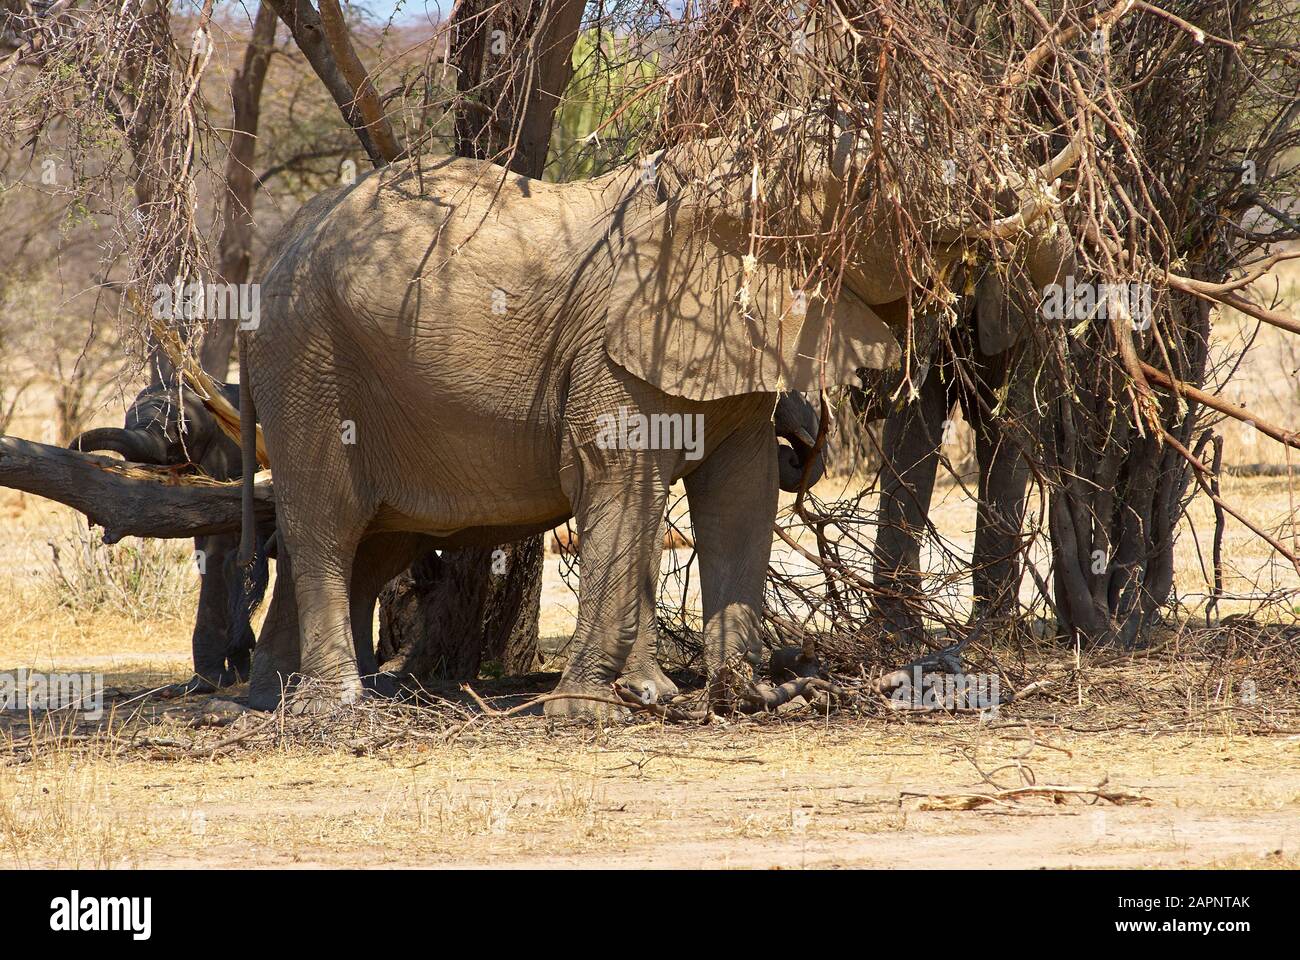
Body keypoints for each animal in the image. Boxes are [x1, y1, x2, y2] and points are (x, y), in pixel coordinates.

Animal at [69, 374, 248, 686]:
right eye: (127, 422)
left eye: (178, 434)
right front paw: (216, 680)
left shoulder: (228, 457)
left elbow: (217, 549)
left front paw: (210, 682)